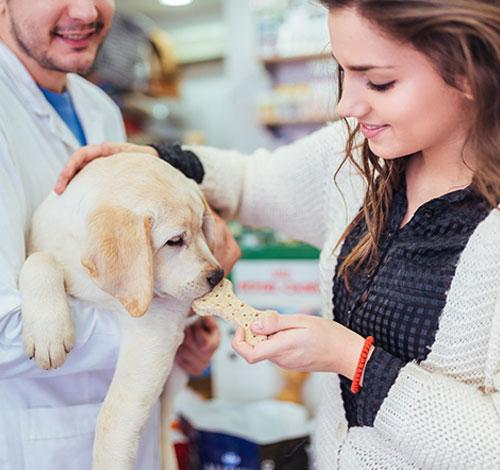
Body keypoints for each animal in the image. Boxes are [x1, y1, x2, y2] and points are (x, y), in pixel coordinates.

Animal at [18, 152, 223, 468]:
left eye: (203, 227)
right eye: (175, 241)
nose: (218, 275)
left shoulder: (155, 330)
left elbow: (112, 418)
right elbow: (39, 260)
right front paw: (48, 333)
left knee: (165, 420)